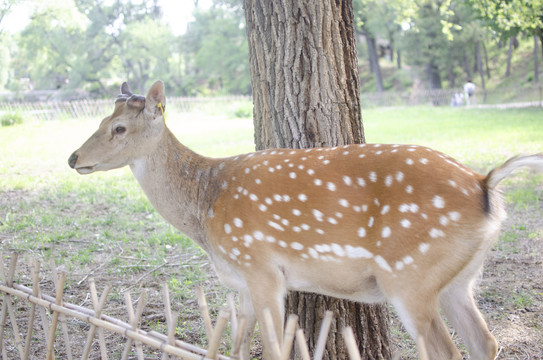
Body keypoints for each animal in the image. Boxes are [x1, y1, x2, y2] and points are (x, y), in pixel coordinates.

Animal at [69, 80, 543, 358]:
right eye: (102, 118)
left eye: (119, 129)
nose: (73, 158)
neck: (205, 208)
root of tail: (486, 183)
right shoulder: (244, 283)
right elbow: (238, 348)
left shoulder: (261, 268)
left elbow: (274, 350)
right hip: (459, 278)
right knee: (485, 341)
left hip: (410, 275)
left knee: (447, 350)